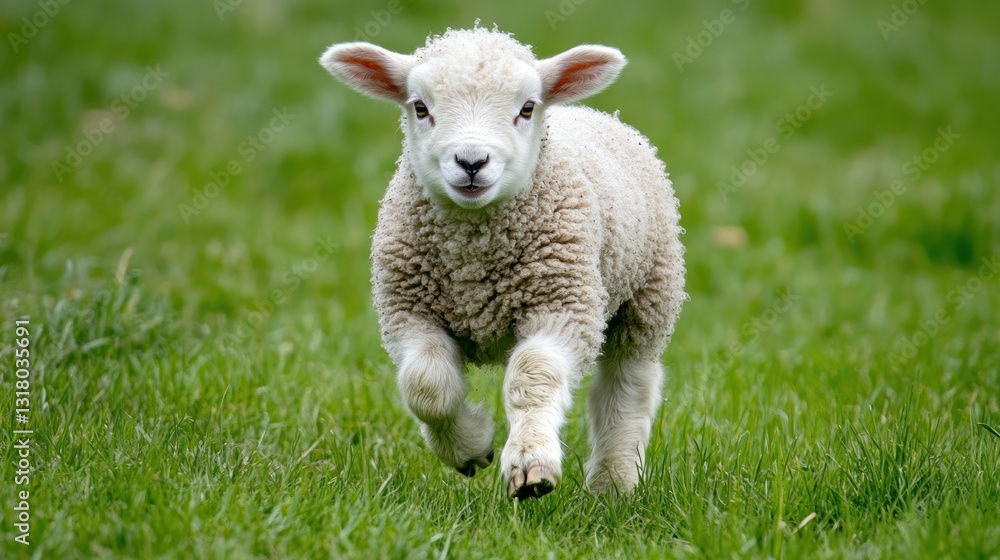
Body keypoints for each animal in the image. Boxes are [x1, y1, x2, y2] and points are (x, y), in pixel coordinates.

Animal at [319, 26, 685, 499]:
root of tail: (593, 112)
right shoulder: (407, 312)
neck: (473, 260)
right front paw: (470, 446)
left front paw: (531, 465)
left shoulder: (563, 306)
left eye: (526, 108)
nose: (472, 162)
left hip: (648, 297)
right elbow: (426, 386)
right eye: (420, 107)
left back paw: (614, 483)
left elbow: (533, 376)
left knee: (626, 388)